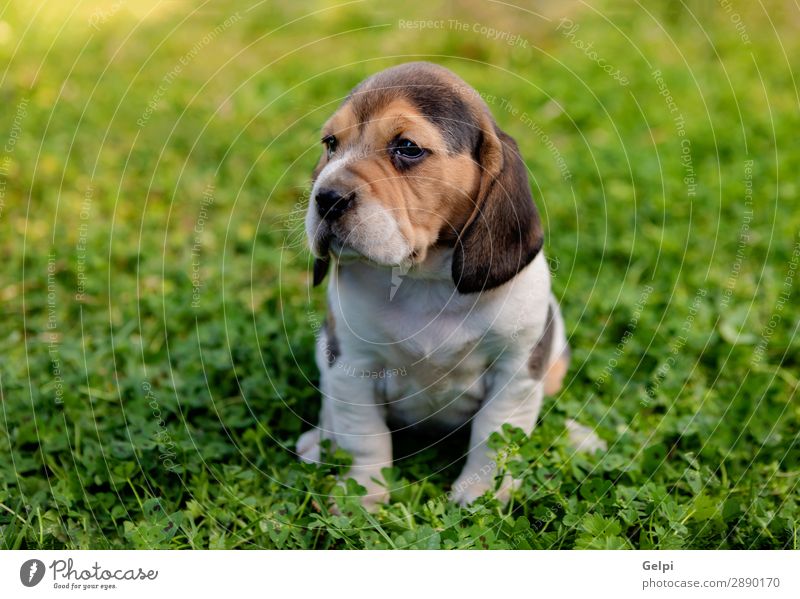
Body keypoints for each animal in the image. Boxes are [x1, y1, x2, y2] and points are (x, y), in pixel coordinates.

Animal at [296, 63, 580, 508]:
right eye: (330, 144)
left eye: (408, 148)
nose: (325, 198)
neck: (424, 280)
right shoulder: (351, 364)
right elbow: (365, 437)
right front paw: (362, 496)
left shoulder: (516, 369)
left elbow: (494, 436)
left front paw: (482, 494)